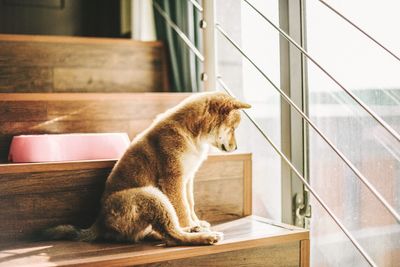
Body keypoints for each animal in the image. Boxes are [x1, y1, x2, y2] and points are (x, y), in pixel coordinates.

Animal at [43, 92, 250, 247]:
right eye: (233, 128)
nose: (237, 148)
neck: (191, 133)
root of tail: (99, 223)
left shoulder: (188, 179)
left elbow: (190, 204)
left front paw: (196, 222)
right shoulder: (174, 179)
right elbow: (182, 208)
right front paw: (191, 224)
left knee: (163, 234)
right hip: (152, 195)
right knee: (173, 236)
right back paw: (202, 236)